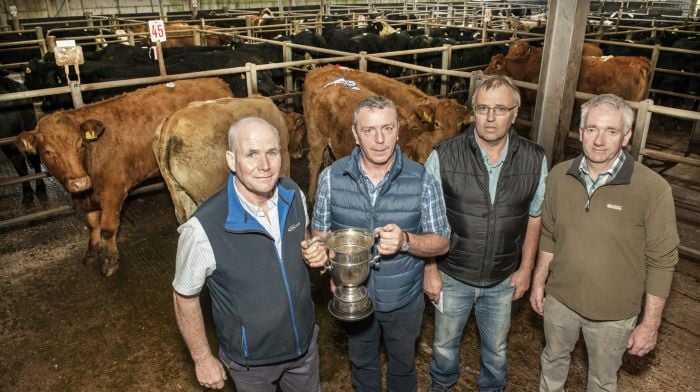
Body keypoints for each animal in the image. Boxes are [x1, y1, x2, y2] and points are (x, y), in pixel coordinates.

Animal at [15, 78, 232, 276]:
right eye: (48, 152)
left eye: (80, 145)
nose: (80, 182)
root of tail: (215, 80)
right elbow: (92, 223)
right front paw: (91, 252)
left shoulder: (114, 191)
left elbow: (108, 228)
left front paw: (110, 262)